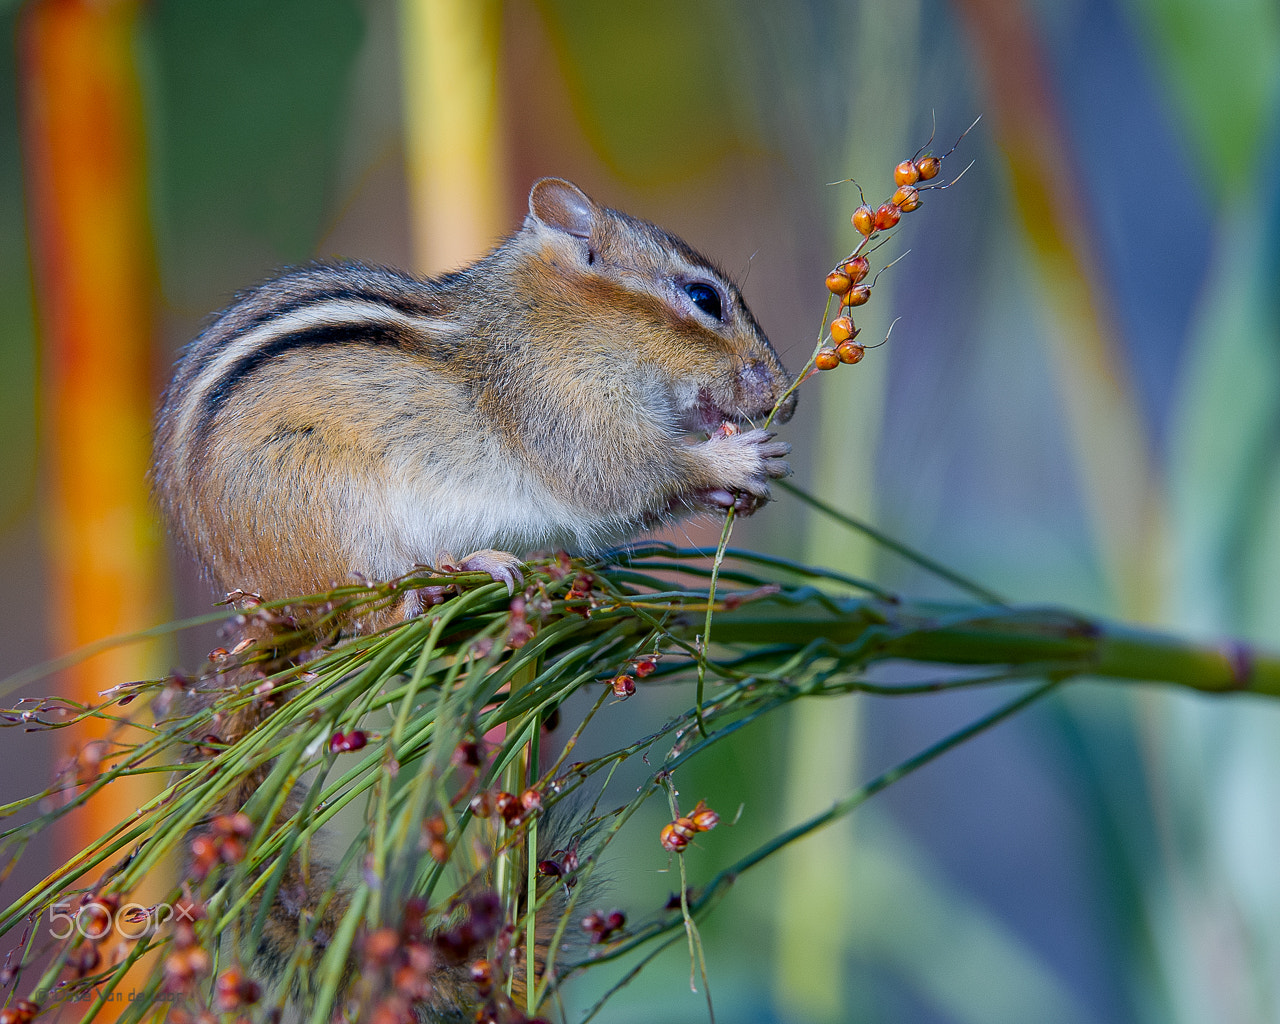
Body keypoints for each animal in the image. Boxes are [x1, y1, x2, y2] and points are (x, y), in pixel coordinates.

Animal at [151, 178, 795, 1021]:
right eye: (704, 298)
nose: (779, 390)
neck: (556, 322)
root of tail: (258, 605)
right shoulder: (566, 412)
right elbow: (623, 480)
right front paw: (733, 458)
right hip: (338, 519)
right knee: (369, 614)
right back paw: (462, 571)